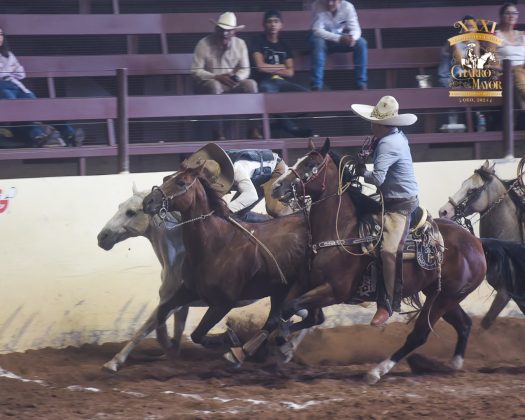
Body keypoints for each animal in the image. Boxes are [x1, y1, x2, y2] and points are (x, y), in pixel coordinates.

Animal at [141, 167, 310, 354]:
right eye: (166, 178)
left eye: (181, 183)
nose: (147, 201)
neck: (215, 245)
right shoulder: (189, 290)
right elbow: (163, 311)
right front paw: (167, 342)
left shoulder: (223, 303)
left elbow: (197, 334)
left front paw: (229, 338)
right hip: (280, 290)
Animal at [270, 140, 488, 384]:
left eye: (310, 164)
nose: (276, 187)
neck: (341, 231)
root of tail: (476, 243)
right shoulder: (305, 283)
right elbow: (289, 312)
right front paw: (283, 345)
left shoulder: (334, 291)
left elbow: (291, 308)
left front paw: (284, 344)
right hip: (440, 294)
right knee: (464, 324)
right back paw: (453, 364)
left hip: (444, 298)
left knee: (419, 335)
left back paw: (377, 371)